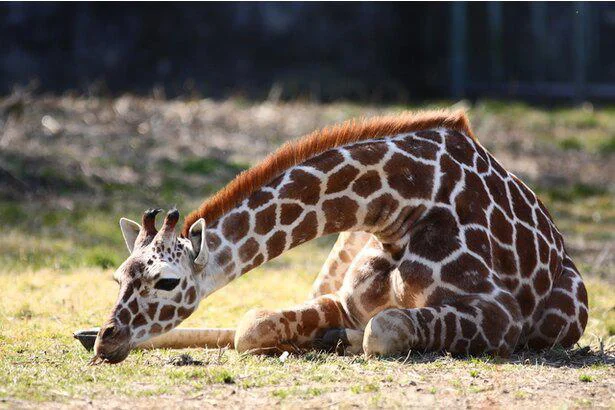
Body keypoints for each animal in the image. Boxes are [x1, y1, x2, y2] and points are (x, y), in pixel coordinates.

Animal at [91, 108, 588, 362]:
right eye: (117, 278)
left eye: (166, 281)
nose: (107, 342)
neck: (402, 209)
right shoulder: (346, 299)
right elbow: (253, 324)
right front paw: (310, 338)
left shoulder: (501, 315)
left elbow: (382, 329)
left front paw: (335, 339)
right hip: (339, 250)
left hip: (563, 318)